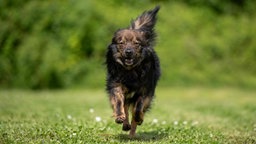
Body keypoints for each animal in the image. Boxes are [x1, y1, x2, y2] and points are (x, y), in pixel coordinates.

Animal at [105, 5, 160, 137]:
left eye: (136, 43)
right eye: (121, 43)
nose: (128, 52)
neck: (130, 71)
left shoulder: (145, 90)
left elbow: (138, 108)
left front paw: (139, 118)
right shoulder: (116, 85)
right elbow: (119, 102)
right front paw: (120, 116)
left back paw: (133, 132)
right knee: (125, 107)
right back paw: (126, 124)